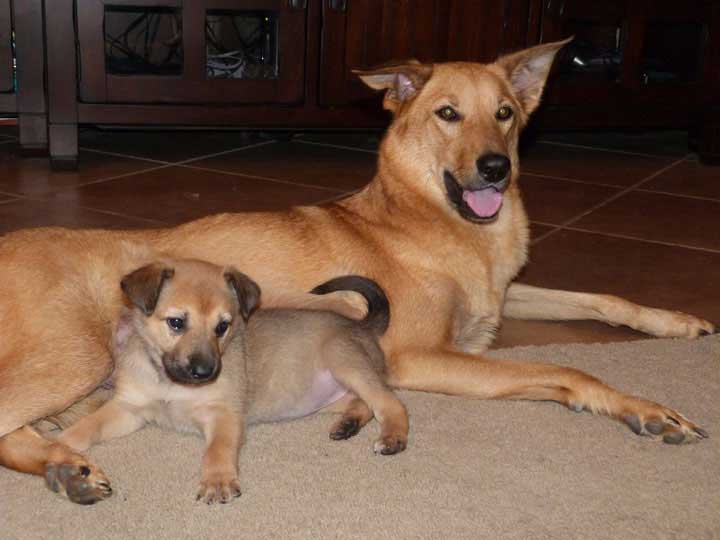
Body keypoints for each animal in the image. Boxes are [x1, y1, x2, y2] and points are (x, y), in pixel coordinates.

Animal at [57, 258, 404, 502]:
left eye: (222, 326)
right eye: (176, 322)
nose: (205, 372)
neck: (170, 384)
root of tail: (362, 326)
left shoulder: (223, 415)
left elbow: (217, 450)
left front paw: (218, 481)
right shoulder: (129, 409)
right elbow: (88, 426)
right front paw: (60, 446)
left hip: (345, 363)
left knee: (391, 403)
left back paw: (392, 438)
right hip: (330, 396)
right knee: (366, 403)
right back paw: (348, 424)